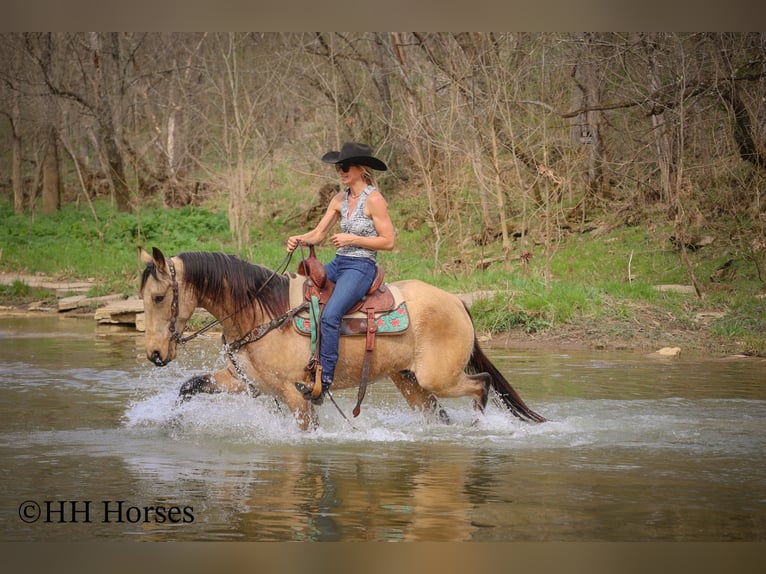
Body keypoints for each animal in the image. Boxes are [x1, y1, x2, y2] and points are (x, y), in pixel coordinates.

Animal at [139, 247, 546, 430]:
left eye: (158, 297)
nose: (155, 354)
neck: (262, 314)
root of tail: (457, 302)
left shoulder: (294, 394)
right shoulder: (246, 382)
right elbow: (189, 386)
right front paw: (171, 423)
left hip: (439, 377)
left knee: (482, 383)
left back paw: (480, 427)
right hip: (410, 381)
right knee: (441, 413)